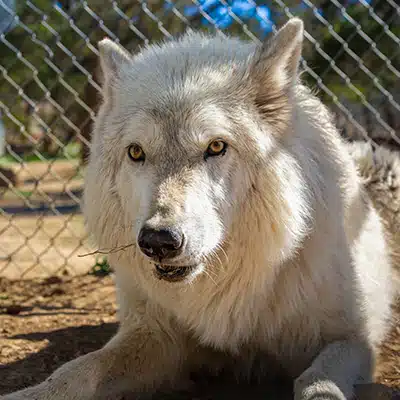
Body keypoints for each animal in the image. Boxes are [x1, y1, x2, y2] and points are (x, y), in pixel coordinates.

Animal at [2, 18, 398, 400]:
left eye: (216, 146)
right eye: (136, 152)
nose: (158, 241)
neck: (225, 291)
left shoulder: (352, 339)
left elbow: (316, 383)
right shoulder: (158, 336)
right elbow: (75, 372)